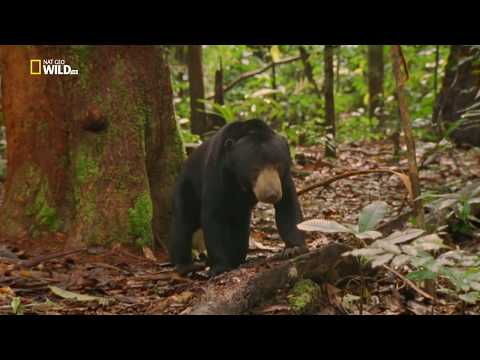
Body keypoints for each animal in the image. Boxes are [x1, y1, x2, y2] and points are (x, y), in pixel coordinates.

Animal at [169, 119, 308, 276]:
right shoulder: (218, 171)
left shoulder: (283, 179)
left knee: (239, 229)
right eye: (255, 169)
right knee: (182, 223)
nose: (272, 194)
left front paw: (293, 249)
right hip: (187, 187)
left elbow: (287, 205)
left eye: (278, 166)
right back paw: (185, 265)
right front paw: (219, 266)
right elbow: (213, 215)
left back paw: (236, 257)